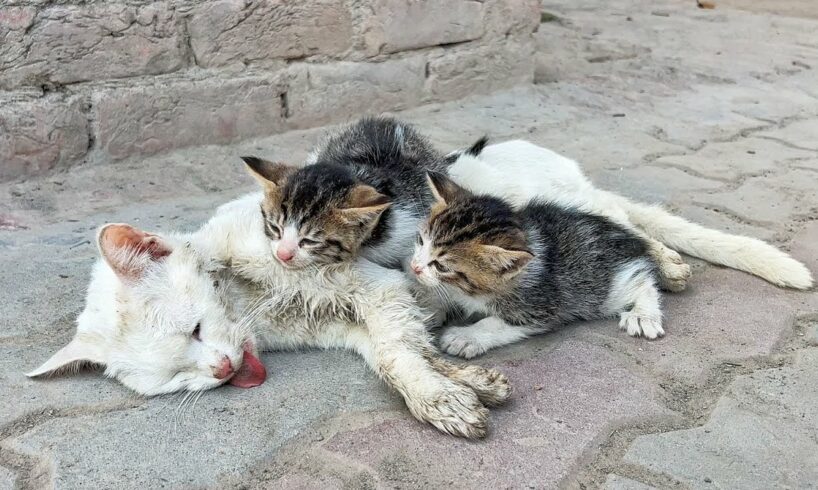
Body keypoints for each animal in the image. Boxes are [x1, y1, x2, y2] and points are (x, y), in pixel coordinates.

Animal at [408, 173, 664, 360]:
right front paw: (429, 306)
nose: (414, 267)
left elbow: (495, 323)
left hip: (603, 286)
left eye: (441, 266)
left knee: (642, 281)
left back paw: (644, 316)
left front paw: (466, 337)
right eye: (420, 241)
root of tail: (624, 232)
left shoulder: (541, 305)